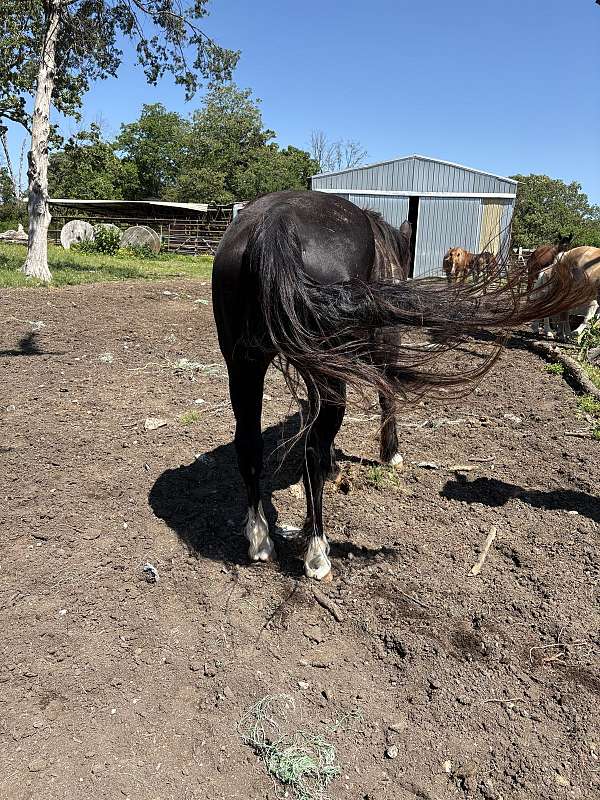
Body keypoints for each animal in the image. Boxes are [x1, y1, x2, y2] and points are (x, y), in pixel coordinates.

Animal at [212, 190, 589, 581]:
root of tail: (276, 222)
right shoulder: (384, 343)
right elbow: (386, 398)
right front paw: (390, 454)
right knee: (311, 450)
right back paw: (316, 550)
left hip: (244, 368)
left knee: (250, 445)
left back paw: (259, 538)